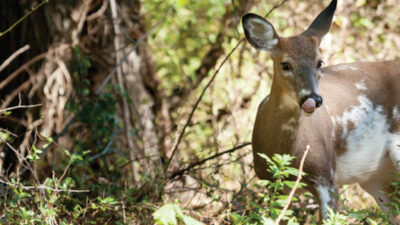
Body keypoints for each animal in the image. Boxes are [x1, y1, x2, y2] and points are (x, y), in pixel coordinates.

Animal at [242, 0, 400, 223]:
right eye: (285, 64)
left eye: (320, 62)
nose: (313, 100)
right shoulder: (275, 182)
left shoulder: (326, 174)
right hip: (377, 177)